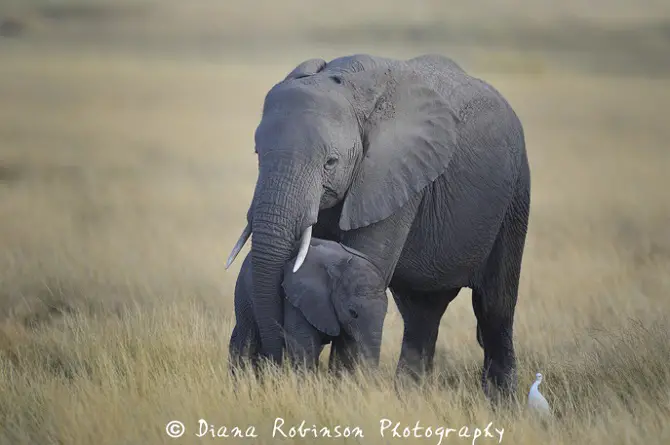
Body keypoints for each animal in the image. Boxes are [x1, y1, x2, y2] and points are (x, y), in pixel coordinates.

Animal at [231, 239, 388, 372]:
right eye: (353, 312)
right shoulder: (299, 299)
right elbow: (304, 346)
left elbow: (347, 346)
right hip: (243, 292)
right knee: (247, 338)